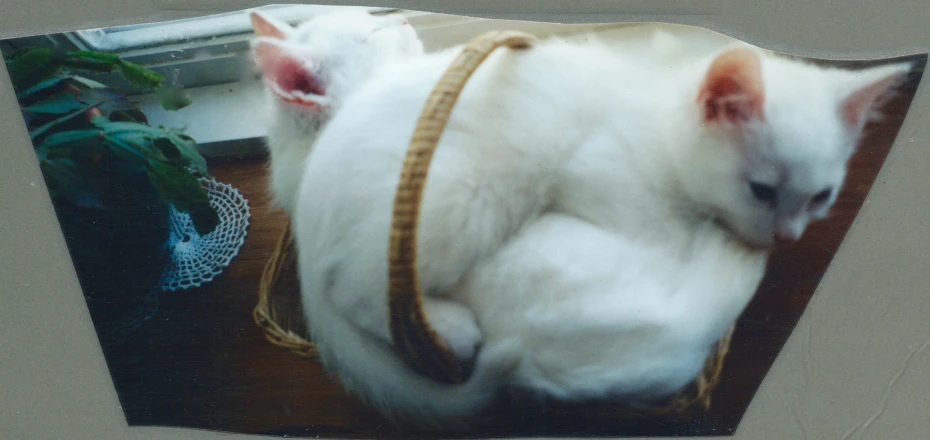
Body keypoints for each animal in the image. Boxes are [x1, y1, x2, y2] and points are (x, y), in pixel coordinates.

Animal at [288, 25, 908, 428]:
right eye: (762, 190)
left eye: (821, 196)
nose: (786, 237)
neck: (658, 120)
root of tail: (307, 213)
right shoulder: (597, 173)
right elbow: (658, 235)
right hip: (461, 195)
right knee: (359, 287)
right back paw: (451, 325)